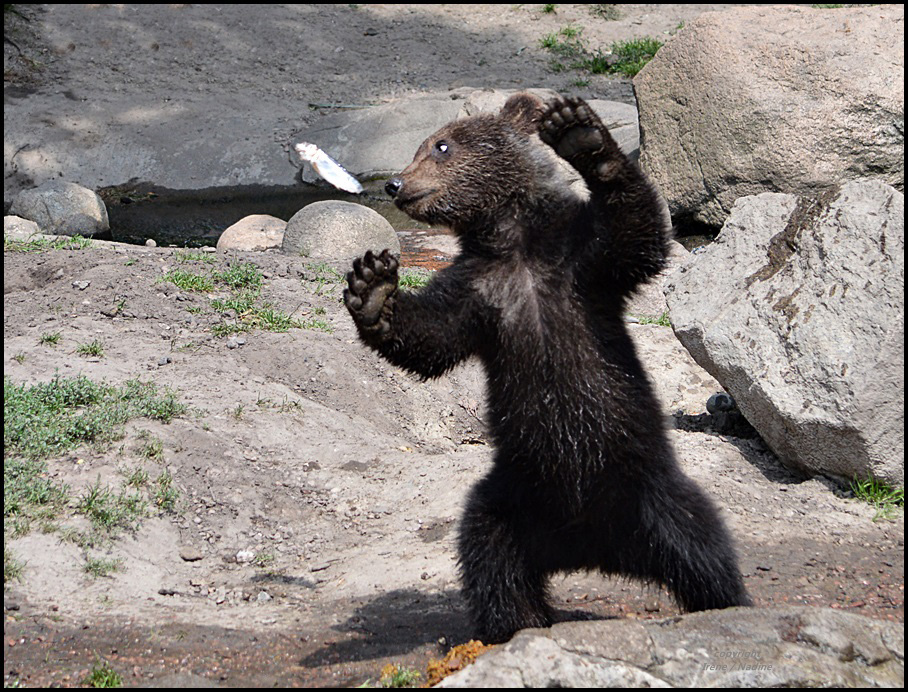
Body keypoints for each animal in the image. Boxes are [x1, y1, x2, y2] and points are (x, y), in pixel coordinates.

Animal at [344, 90, 748, 644]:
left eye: (441, 145)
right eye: (423, 145)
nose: (396, 184)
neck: (514, 242)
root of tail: (593, 551)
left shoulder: (578, 265)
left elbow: (636, 235)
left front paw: (582, 135)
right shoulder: (478, 292)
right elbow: (431, 337)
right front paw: (372, 289)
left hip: (645, 489)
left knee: (701, 544)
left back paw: (726, 603)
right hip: (516, 501)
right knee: (489, 557)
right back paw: (515, 624)